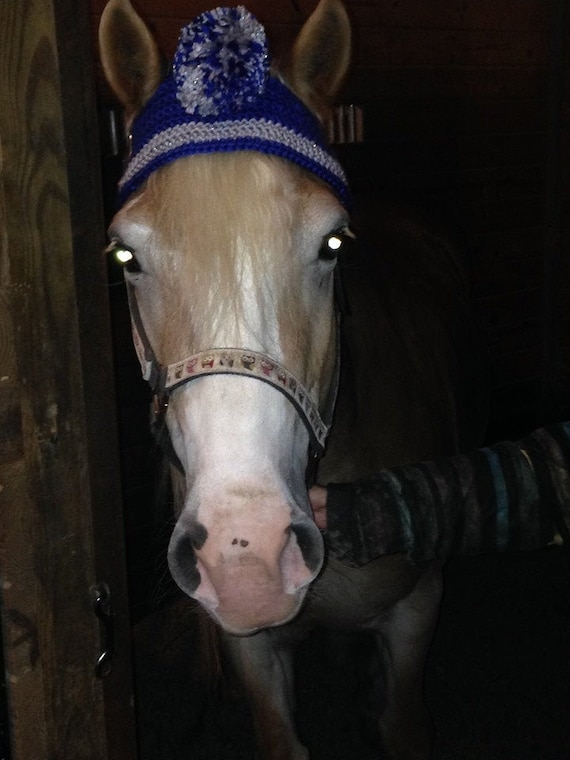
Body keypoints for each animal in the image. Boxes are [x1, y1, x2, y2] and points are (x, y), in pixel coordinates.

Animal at [99, 1, 487, 757]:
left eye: (332, 243)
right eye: (126, 256)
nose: (244, 555)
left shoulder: (417, 609)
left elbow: (401, 722)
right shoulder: (253, 652)